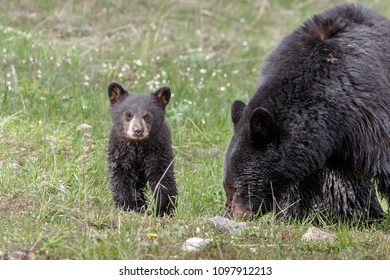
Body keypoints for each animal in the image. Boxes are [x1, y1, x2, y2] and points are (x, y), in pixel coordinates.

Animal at [108, 82, 178, 215]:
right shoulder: (119, 154)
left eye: (147, 116)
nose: (138, 130)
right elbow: (119, 177)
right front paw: (126, 206)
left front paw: (163, 210)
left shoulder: (158, 152)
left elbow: (163, 178)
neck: (138, 147)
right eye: (128, 114)